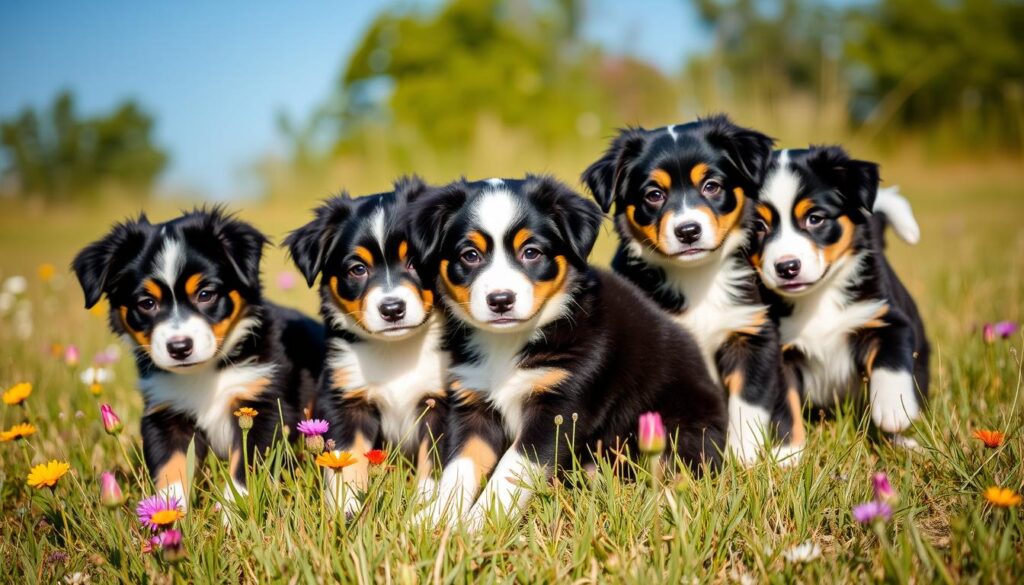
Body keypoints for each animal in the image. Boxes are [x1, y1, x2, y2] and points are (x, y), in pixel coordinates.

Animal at [72, 209, 323, 512]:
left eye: (205, 294)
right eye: (147, 303)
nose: (179, 347)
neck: (206, 373)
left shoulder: (263, 405)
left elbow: (246, 468)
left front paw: (234, 511)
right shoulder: (166, 414)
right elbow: (171, 469)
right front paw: (166, 514)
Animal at [286, 177, 450, 516]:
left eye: (415, 262)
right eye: (357, 269)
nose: (392, 309)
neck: (396, 351)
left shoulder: (438, 400)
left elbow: (432, 460)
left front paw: (424, 504)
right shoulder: (347, 399)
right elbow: (346, 458)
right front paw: (346, 508)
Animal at [407, 174, 729, 532]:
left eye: (531, 252)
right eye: (470, 255)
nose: (501, 300)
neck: (509, 342)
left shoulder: (559, 406)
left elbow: (509, 472)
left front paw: (481, 525)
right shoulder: (473, 405)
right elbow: (458, 470)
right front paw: (433, 520)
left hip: (676, 427)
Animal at [585, 116, 798, 467]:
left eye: (711, 186)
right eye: (654, 194)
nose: (688, 231)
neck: (696, 277)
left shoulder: (751, 333)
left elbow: (747, 406)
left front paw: (744, 461)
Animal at [749, 147, 933, 448]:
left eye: (815, 218)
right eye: (758, 227)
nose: (787, 267)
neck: (818, 297)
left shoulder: (886, 318)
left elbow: (891, 363)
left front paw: (893, 410)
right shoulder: (778, 353)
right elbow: (785, 405)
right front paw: (787, 450)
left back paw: (902, 442)